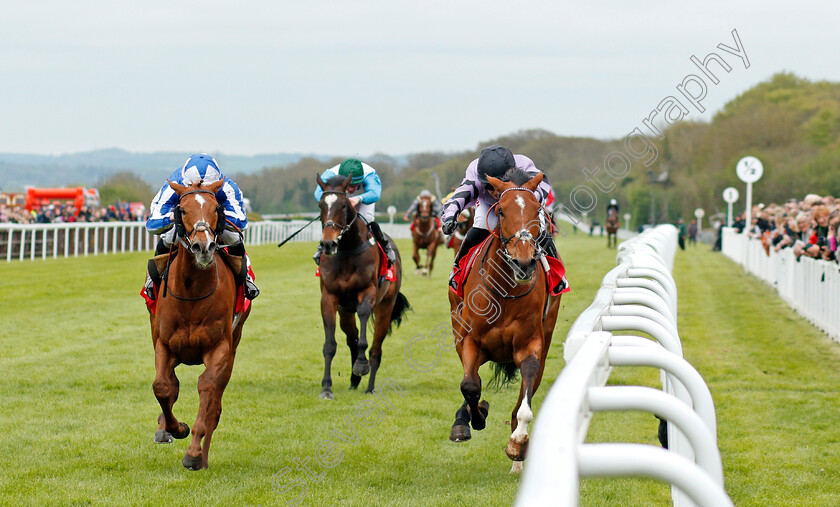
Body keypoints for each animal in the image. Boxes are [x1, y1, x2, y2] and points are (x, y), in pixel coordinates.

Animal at [147, 180, 249, 472]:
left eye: (217, 208)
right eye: (182, 209)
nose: (203, 247)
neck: (192, 292)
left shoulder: (220, 348)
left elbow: (207, 387)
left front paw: (193, 453)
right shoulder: (164, 344)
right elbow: (162, 386)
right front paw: (175, 428)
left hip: (234, 346)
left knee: (215, 401)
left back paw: (202, 458)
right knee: (171, 384)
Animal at [316, 177, 410, 398]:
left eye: (343, 205)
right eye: (321, 205)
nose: (328, 244)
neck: (347, 250)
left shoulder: (367, 292)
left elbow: (364, 325)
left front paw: (361, 364)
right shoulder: (329, 297)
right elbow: (330, 345)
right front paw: (326, 388)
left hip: (386, 306)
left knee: (376, 349)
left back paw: (369, 386)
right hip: (345, 311)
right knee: (352, 338)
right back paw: (353, 380)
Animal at [446, 170, 564, 472]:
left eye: (537, 209)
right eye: (500, 210)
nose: (523, 263)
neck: (505, 292)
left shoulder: (531, 343)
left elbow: (526, 393)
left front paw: (518, 443)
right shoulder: (469, 340)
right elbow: (470, 385)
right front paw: (474, 417)